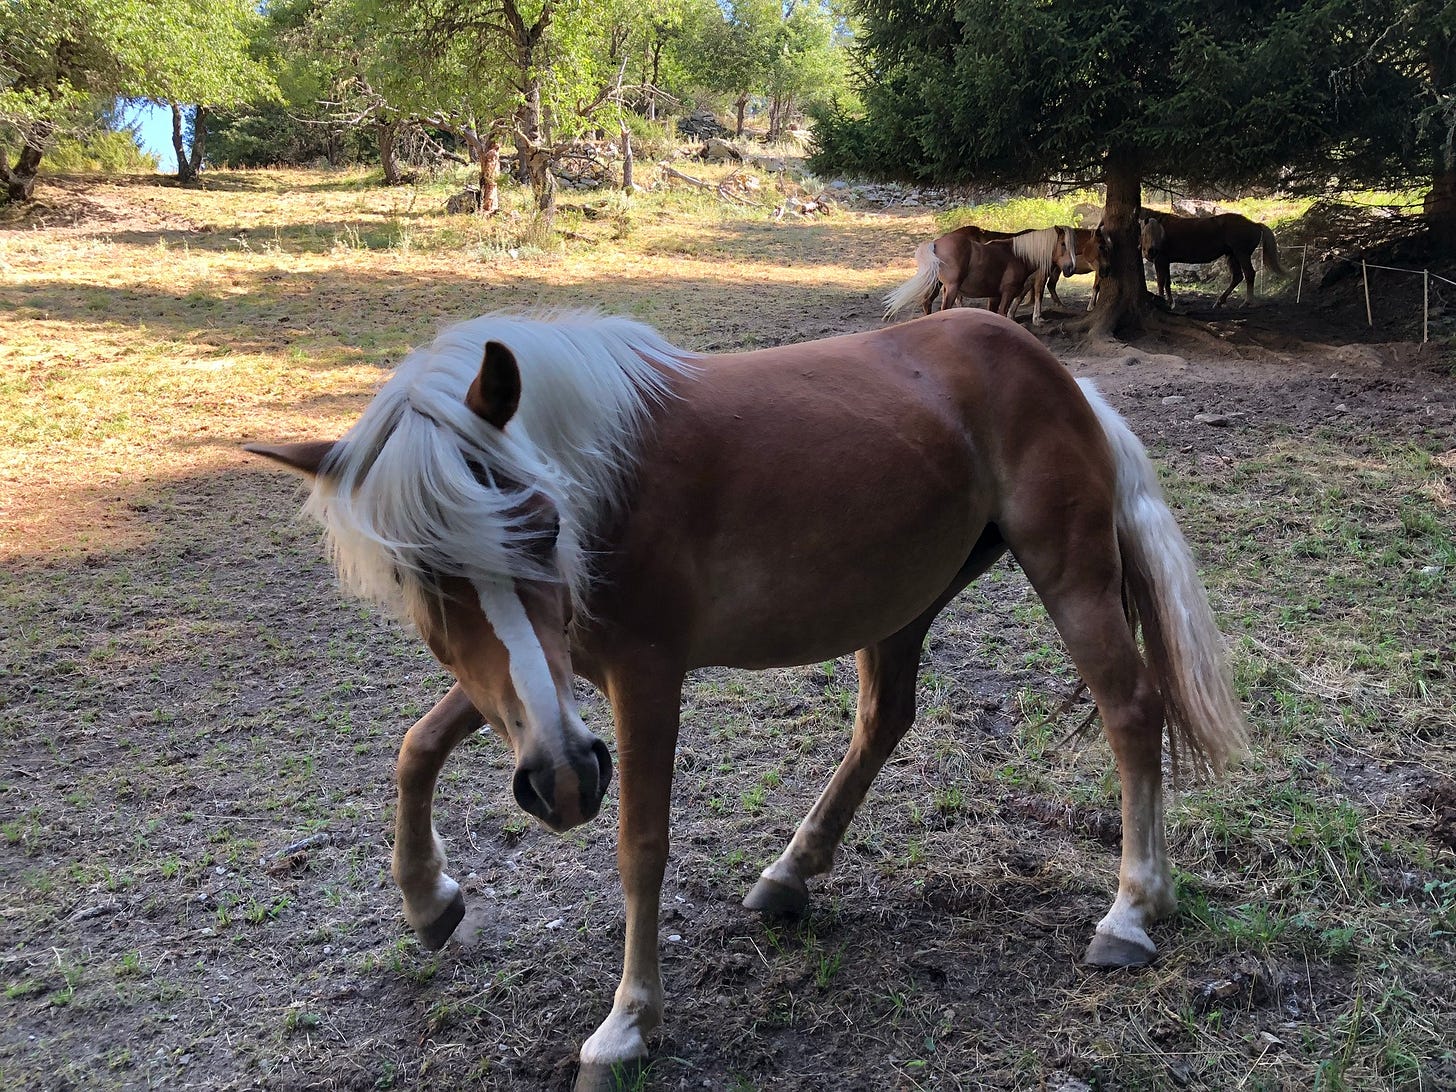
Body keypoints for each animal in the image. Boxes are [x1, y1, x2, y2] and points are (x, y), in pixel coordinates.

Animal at [245, 309, 1248, 1092]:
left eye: (539, 525)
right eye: (419, 576)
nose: (562, 784)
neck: (604, 475)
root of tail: (1061, 377)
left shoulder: (641, 678)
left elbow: (640, 845)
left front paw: (628, 1026)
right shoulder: (548, 685)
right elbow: (416, 747)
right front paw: (428, 900)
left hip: (1069, 576)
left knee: (1131, 708)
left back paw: (1131, 913)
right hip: (903, 600)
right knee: (885, 720)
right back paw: (789, 874)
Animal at [884, 225, 1077, 324]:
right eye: (1063, 244)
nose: (1070, 268)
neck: (1017, 255)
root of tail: (936, 243)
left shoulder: (995, 296)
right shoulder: (1007, 293)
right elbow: (1003, 314)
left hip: (936, 285)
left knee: (927, 303)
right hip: (951, 288)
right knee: (943, 309)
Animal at [1138, 211, 1286, 309]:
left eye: (1154, 232)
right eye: (1145, 233)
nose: (1152, 251)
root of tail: (1255, 224)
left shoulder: (1160, 261)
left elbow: (1161, 282)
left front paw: (1162, 301)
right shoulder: (1166, 261)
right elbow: (1167, 283)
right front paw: (1170, 302)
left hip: (1241, 254)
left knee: (1249, 274)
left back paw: (1247, 302)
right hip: (1232, 256)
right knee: (1237, 277)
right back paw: (1220, 301)